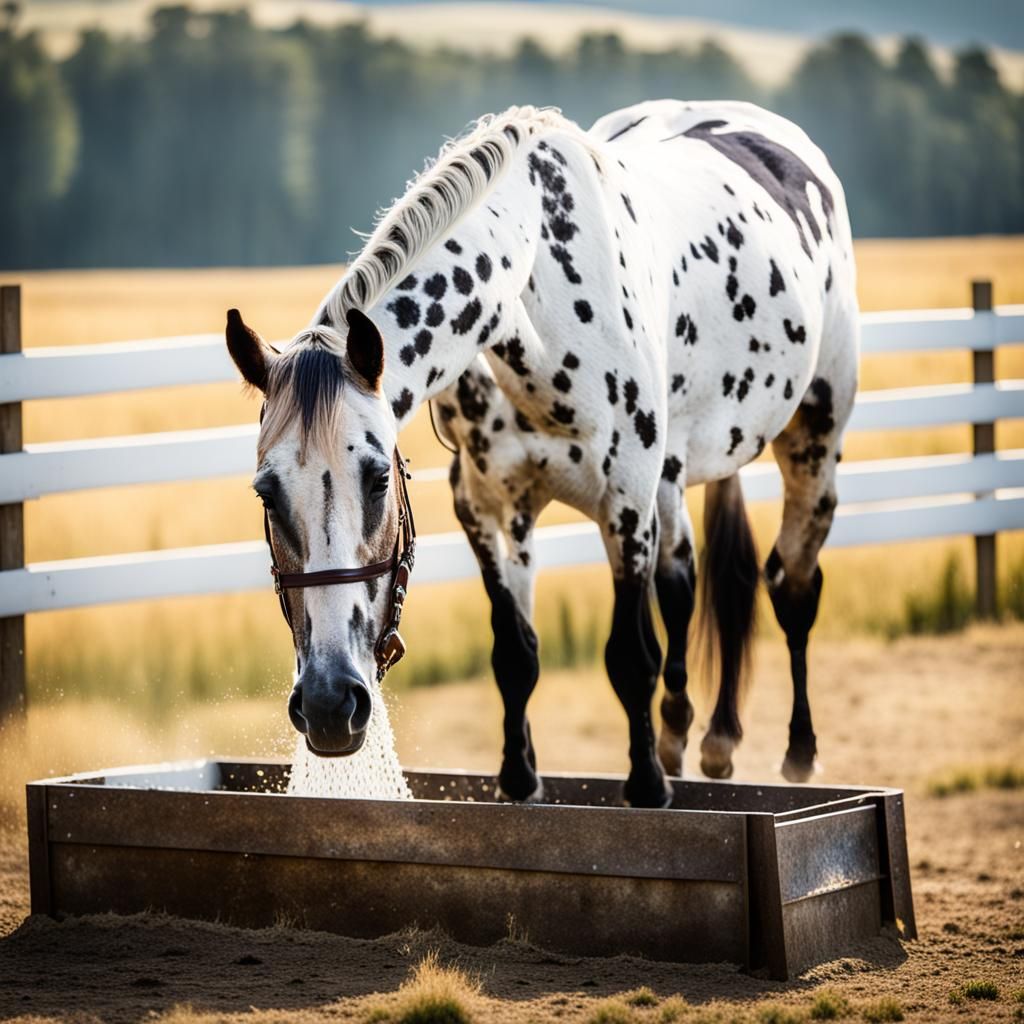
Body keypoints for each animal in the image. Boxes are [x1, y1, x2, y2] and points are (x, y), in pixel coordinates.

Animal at [225, 100, 858, 808]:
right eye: (266, 492)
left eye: (378, 478)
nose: (331, 705)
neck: (536, 292)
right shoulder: (489, 509)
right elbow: (516, 651)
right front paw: (520, 777)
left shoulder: (626, 505)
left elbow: (628, 656)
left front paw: (647, 785)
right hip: (671, 475)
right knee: (688, 582)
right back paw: (697, 737)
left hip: (811, 443)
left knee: (789, 583)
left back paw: (796, 751)